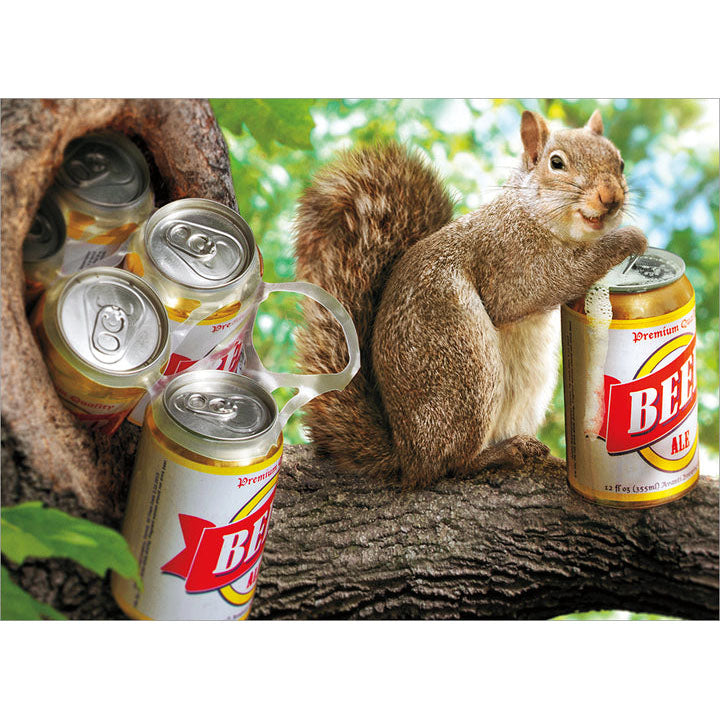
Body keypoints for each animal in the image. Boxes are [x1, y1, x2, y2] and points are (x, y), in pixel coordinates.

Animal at [294, 109, 648, 487]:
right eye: (557, 163)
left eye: (620, 162)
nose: (611, 198)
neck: (534, 213)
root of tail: (406, 456)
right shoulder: (509, 259)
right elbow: (547, 282)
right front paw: (628, 240)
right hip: (464, 364)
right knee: (449, 464)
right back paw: (499, 454)